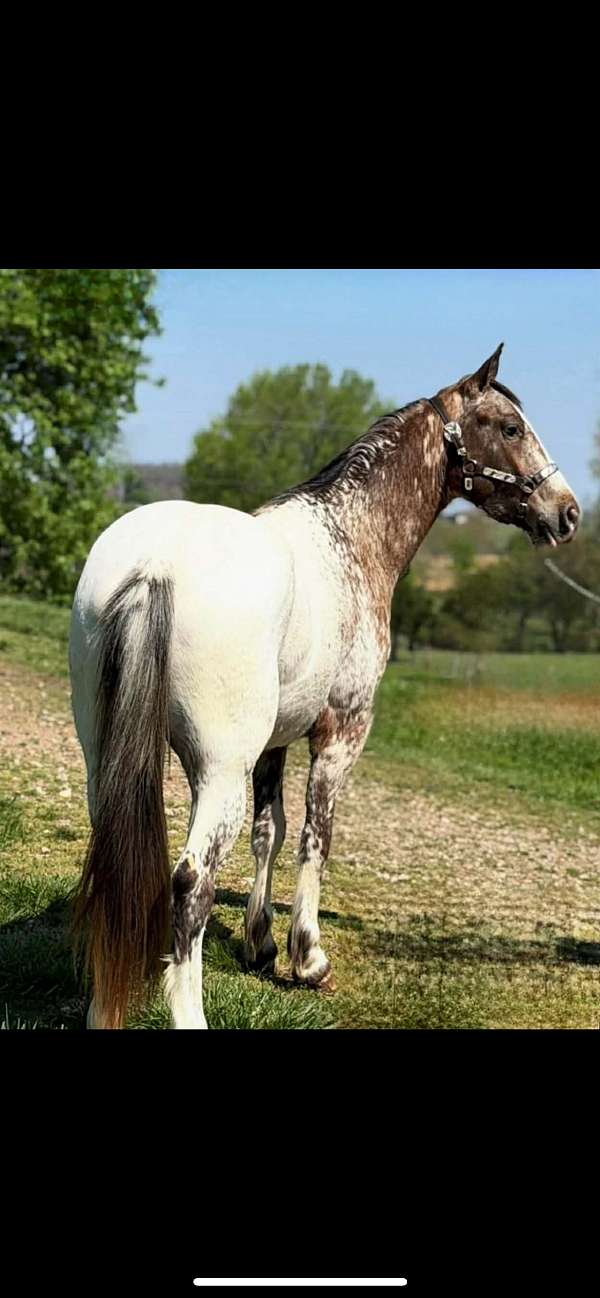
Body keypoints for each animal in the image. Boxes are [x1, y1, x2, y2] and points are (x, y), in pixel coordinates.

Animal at [69, 344, 581, 1028]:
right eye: (509, 427)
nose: (568, 512)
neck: (350, 542)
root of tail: (157, 565)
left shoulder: (276, 742)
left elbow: (271, 831)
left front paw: (259, 943)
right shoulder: (340, 734)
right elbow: (317, 836)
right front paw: (306, 958)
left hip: (104, 755)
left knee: (116, 861)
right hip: (218, 771)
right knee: (190, 883)